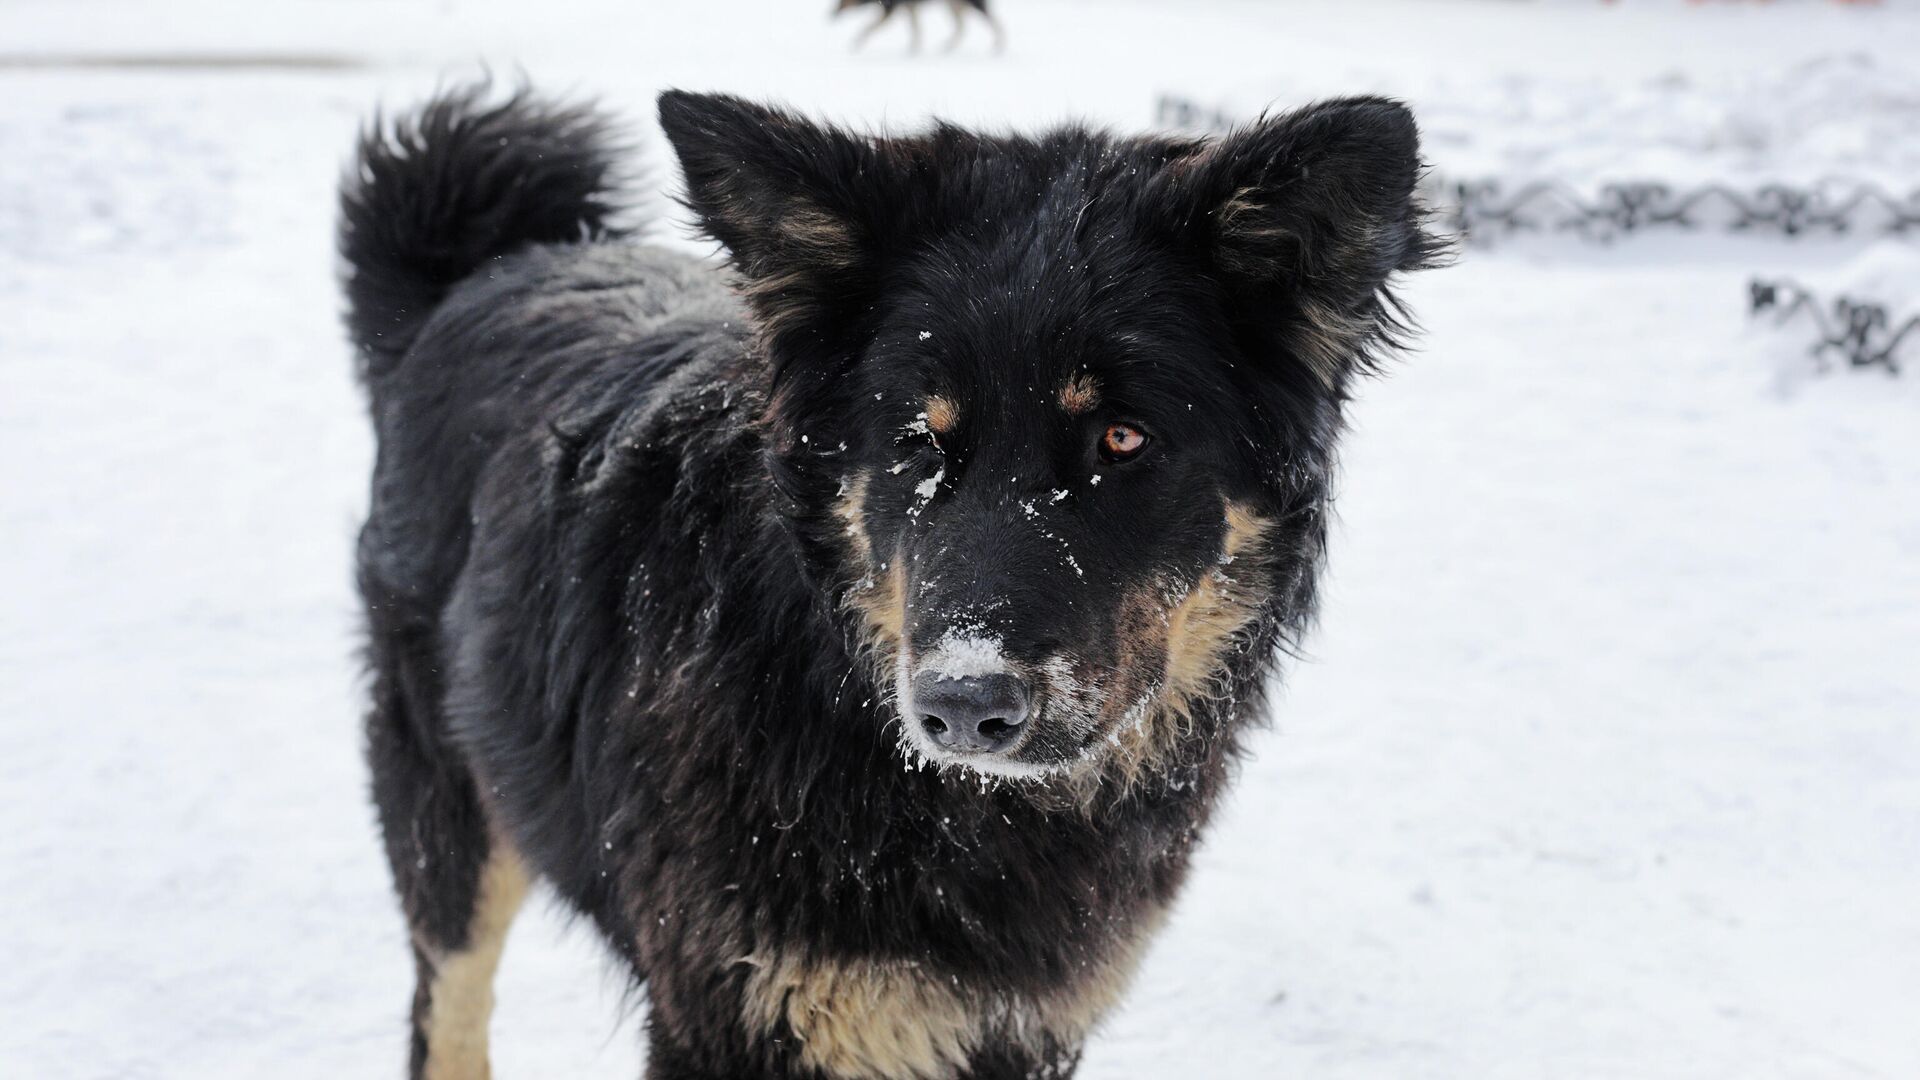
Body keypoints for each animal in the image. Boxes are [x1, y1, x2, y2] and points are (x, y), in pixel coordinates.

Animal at [337, 85, 1436, 1076]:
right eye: (917, 442)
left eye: (1122, 439)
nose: (965, 705)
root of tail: (493, 271)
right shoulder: (733, 1018)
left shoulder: (1015, 1029)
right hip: (453, 820)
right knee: (447, 1016)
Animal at [833, 0, 1006, 53]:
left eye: (841, 1)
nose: (830, 14)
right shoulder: (909, 8)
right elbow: (915, 29)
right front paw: (913, 48)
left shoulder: (892, 8)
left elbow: (869, 27)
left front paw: (857, 42)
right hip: (954, 5)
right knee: (962, 26)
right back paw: (947, 47)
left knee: (994, 21)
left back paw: (998, 45)